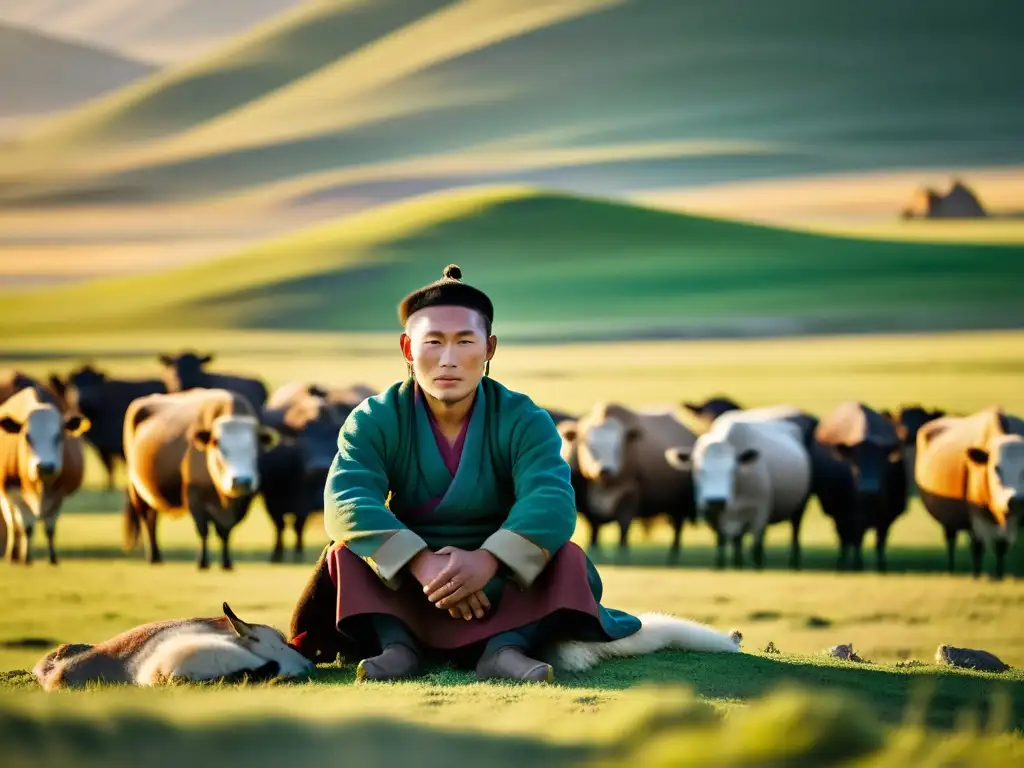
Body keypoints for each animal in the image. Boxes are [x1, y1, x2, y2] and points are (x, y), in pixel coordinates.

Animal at [0, 391, 88, 565]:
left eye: (59, 436)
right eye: (27, 437)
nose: (45, 466)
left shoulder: (59, 497)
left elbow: (50, 529)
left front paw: (53, 558)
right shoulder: (14, 494)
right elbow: (26, 527)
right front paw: (26, 558)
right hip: (5, 497)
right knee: (13, 523)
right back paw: (12, 554)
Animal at [122, 391, 280, 573]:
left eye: (254, 449)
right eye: (220, 447)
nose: (241, 481)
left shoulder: (240, 504)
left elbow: (225, 531)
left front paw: (227, 562)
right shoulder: (195, 497)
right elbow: (203, 530)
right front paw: (203, 562)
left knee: (152, 518)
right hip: (136, 489)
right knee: (145, 519)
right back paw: (153, 556)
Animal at [561, 403, 696, 561]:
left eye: (617, 448)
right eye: (589, 446)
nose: (604, 469)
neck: (604, 488)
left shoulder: (630, 494)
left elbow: (624, 527)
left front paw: (622, 554)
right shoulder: (588, 505)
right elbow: (594, 530)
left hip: (679, 505)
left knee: (678, 527)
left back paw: (673, 554)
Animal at [917, 409, 1019, 577]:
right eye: (996, 469)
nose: (1015, 500)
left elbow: (1000, 545)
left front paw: (999, 574)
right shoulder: (974, 517)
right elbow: (977, 547)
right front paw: (977, 575)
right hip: (949, 520)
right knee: (952, 540)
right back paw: (951, 568)